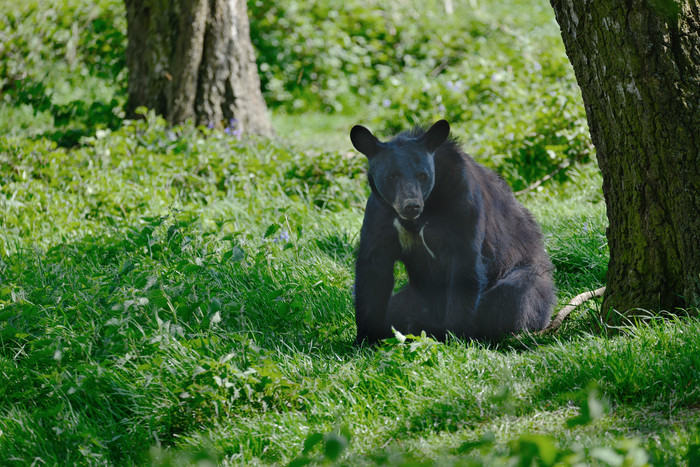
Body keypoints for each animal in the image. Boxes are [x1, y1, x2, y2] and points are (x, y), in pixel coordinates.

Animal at [352, 119, 556, 344]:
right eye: (391, 176)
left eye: (423, 175)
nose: (411, 205)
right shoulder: (380, 216)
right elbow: (373, 270)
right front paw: (366, 338)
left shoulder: (463, 207)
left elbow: (464, 268)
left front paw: (452, 333)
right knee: (397, 306)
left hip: (529, 276)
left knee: (514, 296)